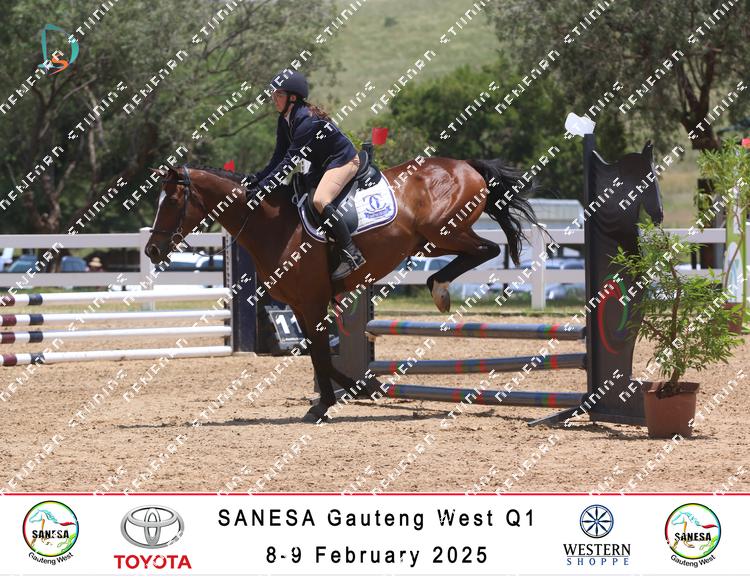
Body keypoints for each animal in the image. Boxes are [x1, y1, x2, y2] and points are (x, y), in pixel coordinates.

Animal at [146, 156, 539, 422]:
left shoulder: (313, 301)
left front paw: (327, 404)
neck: (271, 224)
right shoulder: (301, 306)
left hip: (443, 231)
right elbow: (316, 354)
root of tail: (465, 165)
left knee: (489, 249)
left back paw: (439, 288)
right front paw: (356, 389)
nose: (151, 250)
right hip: (431, 241)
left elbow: (320, 352)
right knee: (481, 250)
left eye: (172, 202)